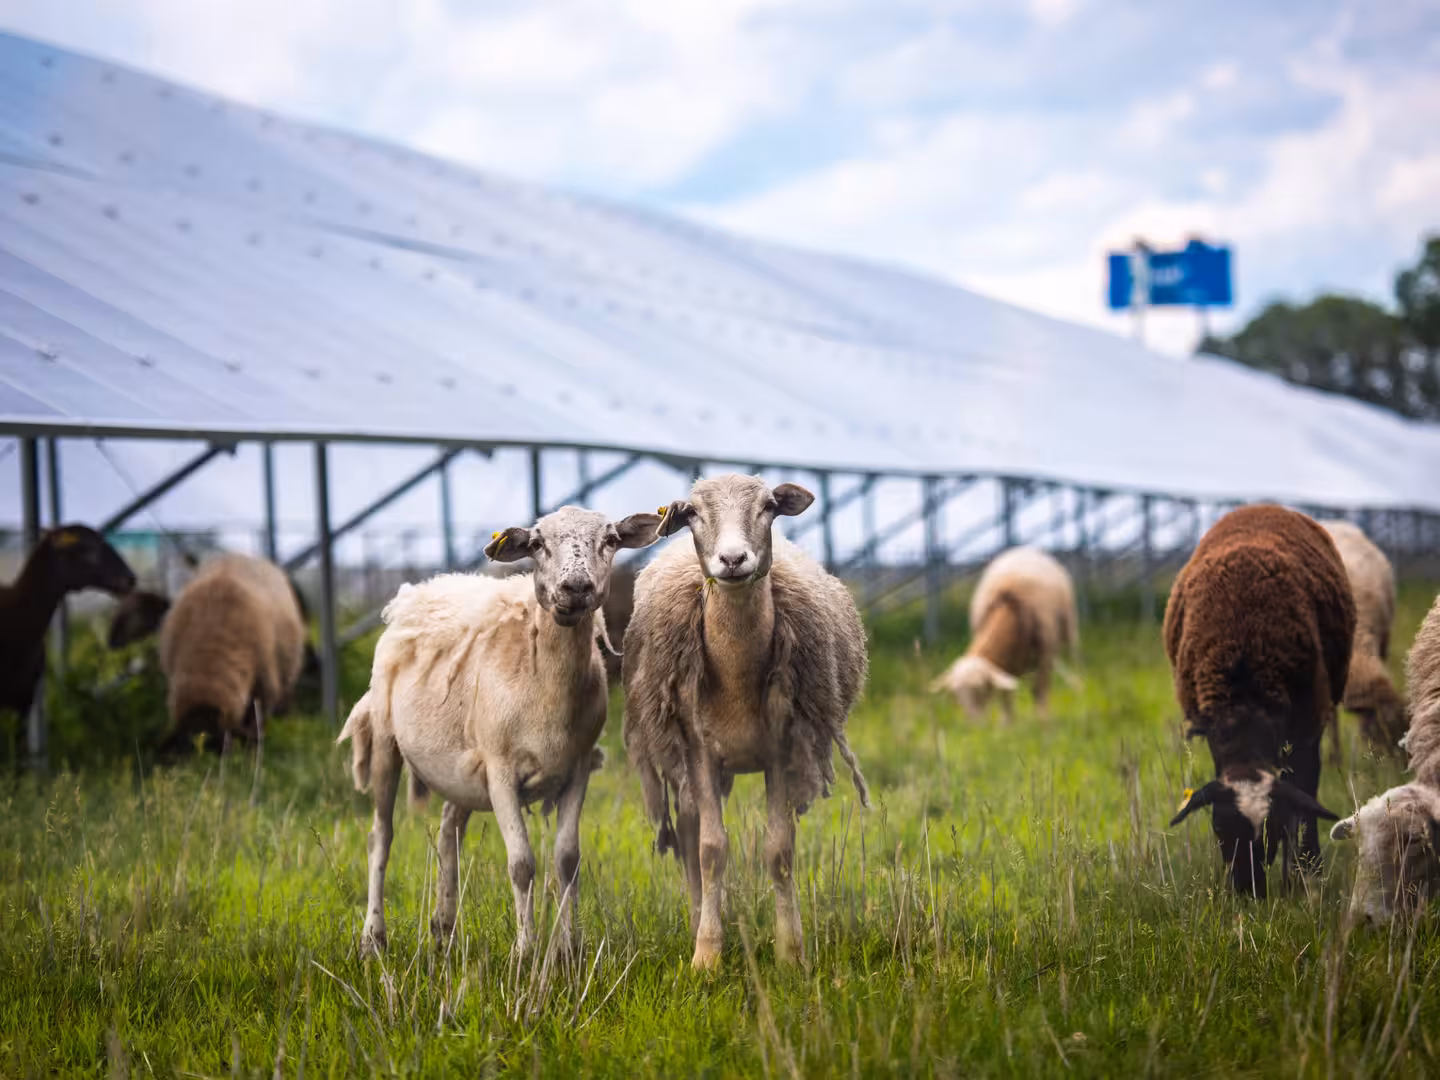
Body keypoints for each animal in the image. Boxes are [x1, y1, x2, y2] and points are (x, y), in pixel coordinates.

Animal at [157, 554, 308, 748]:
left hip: (287, 676)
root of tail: (241, 555)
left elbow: (257, 722)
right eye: (184, 746)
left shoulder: (265, 684)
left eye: (220, 746)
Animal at [338, 505, 660, 958]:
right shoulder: (500, 769)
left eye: (611, 540)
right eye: (537, 543)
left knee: (448, 832)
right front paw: (525, 950)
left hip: (459, 766)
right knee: (379, 837)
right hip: (387, 740)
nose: (575, 588)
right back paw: (373, 938)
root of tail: (416, 592)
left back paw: (444, 928)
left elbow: (567, 859)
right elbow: (522, 863)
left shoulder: (578, 767)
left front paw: (568, 949)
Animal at [622, 474, 870, 969]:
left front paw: (791, 954)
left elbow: (779, 851)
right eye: (691, 514)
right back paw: (699, 919)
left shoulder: (781, 749)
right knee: (691, 834)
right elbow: (712, 851)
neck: (736, 672)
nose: (733, 559)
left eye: (769, 506)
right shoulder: (699, 751)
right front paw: (706, 956)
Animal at [929, 546, 1079, 721]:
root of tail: (1023, 549)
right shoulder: (1005, 662)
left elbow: (1039, 690)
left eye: (980, 688)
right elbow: (1005, 694)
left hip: (1069, 630)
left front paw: (1042, 719)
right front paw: (1008, 723)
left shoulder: (1044, 654)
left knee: (1074, 659)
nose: (973, 723)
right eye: (954, 695)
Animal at [1166, 504, 1354, 898]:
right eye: (1219, 827)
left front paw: (1306, 872)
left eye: (1272, 826)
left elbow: (1305, 792)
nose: (1248, 892)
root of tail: (1262, 505)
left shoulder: (1306, 723)